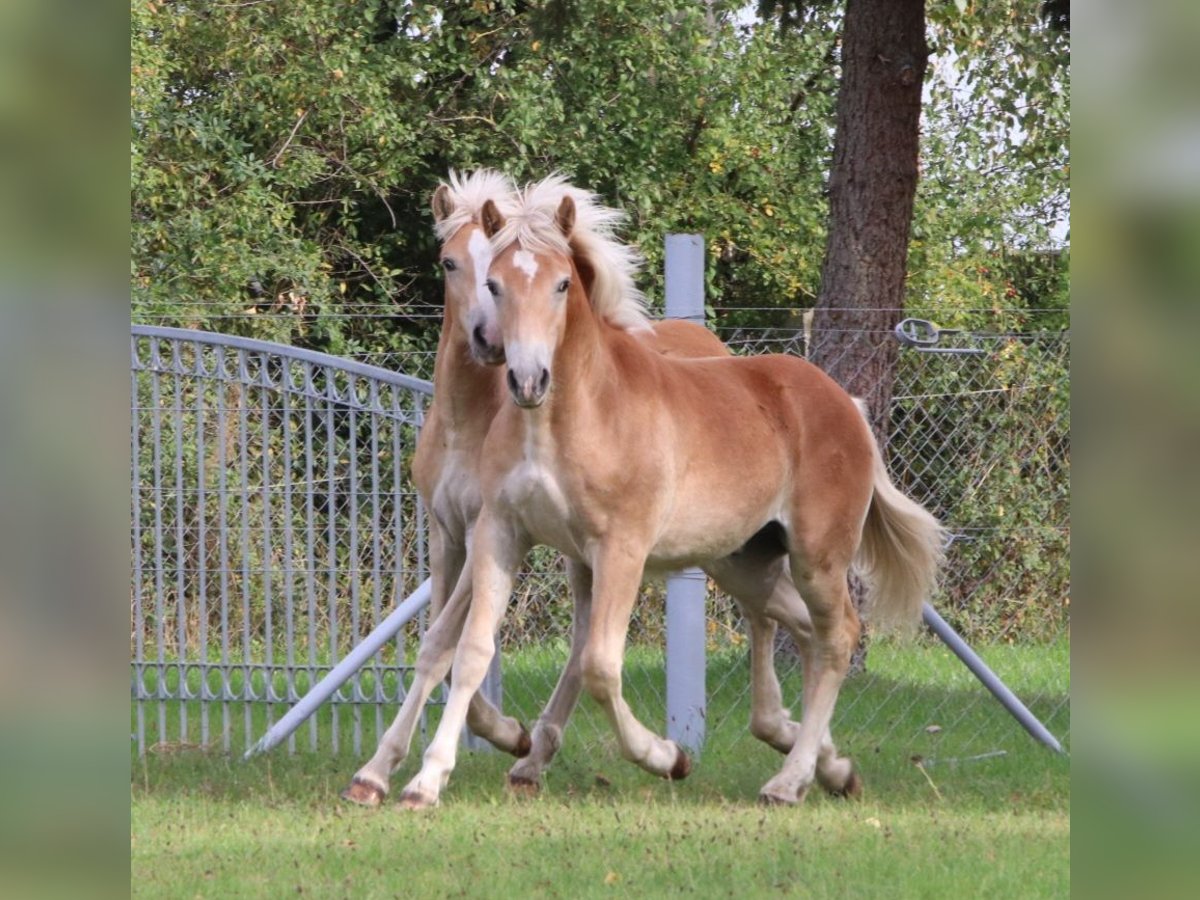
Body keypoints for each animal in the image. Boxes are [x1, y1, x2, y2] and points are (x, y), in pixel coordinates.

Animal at [388, 190, 940, 811]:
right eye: (492, 282)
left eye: (561, 284)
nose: (526, 377)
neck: (568, 418)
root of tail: (847, 404)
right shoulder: (497, 534)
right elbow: (469, 650)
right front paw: (423, 780)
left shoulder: (620, 549)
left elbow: (600, 665)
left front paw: (666, 756)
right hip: (742, 559)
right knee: (789, 625)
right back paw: (824, 762)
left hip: (817, 557)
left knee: (838, 636)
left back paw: (790, 780)